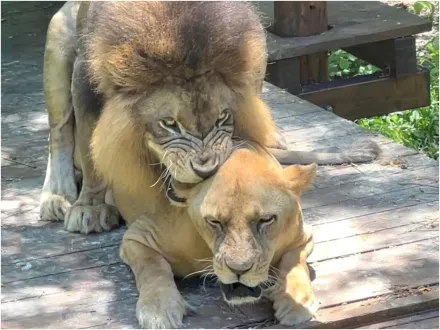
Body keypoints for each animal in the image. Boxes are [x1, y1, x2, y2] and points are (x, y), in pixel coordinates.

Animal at [40, 1, 378, 235]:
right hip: (59, 38)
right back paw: (57, 196)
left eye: (222, 118)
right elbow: (90, 152)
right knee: (59, 135)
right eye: (169, 124)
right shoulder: (85, 78)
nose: (205, 171)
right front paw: (89, 208)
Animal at [118, 146, 316, 328]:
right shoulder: (139, 235)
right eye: (214, 221)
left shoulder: (303, 238)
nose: (238, 269)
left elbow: (294, 263)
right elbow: (153, 268)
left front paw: (296, 302)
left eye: (266, 219)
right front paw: (158, 311)